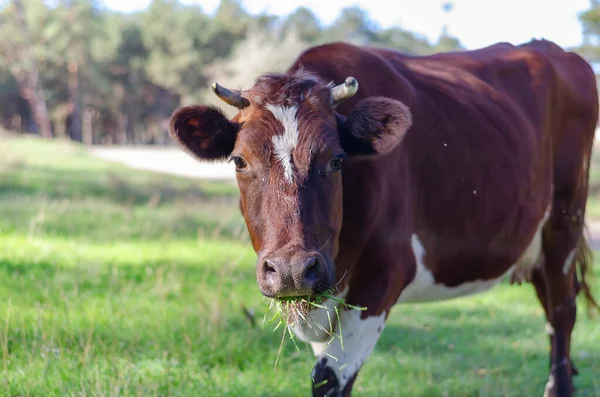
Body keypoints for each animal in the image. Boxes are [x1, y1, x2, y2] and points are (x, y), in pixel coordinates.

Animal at [169, 38, 600, 394]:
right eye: (239, 160)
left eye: (337, 159)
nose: (291, 270)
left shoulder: (385, 272)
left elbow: (328, 377)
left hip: (565, 220)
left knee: (562, 312)